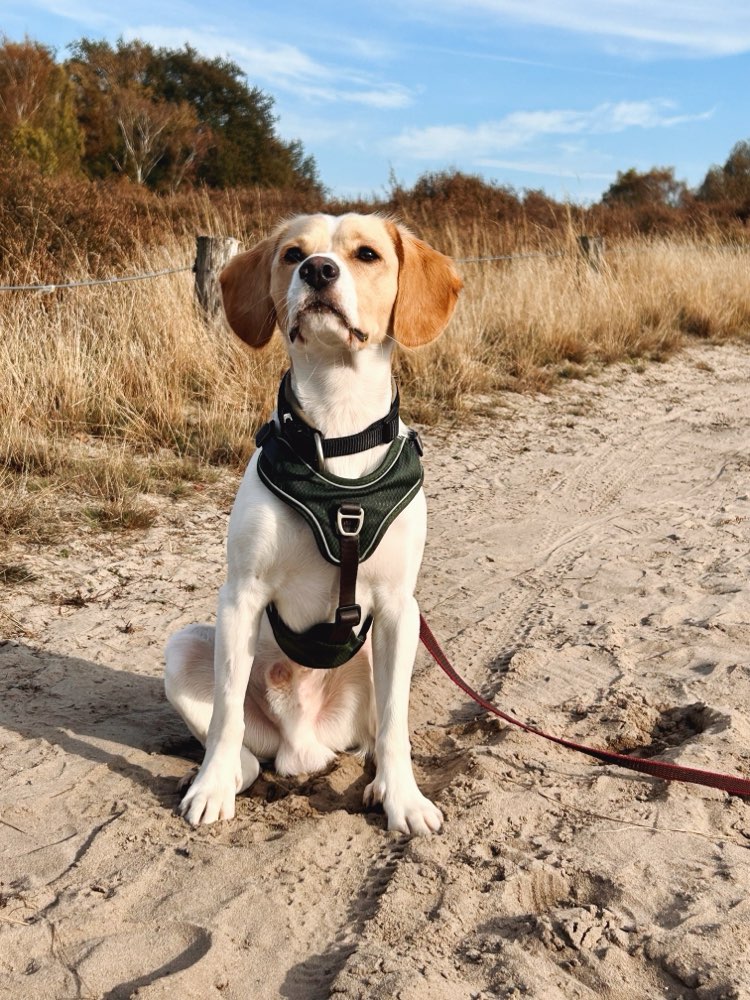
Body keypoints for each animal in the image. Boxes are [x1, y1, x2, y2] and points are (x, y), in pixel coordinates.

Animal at [164, 213, 464, 836]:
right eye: (292, 254)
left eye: (367, 254)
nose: (318, 270)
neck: (338, 421)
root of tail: (302, 743)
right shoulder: (241, 596)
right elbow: (226, 712)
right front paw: (210, 789)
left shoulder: (399, 607)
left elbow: (395, 722)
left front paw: (404, 800)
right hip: (184, 646)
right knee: (243, 749)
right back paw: (223, 774)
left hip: (384, 653)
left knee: (378, 733)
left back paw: (379, 780)